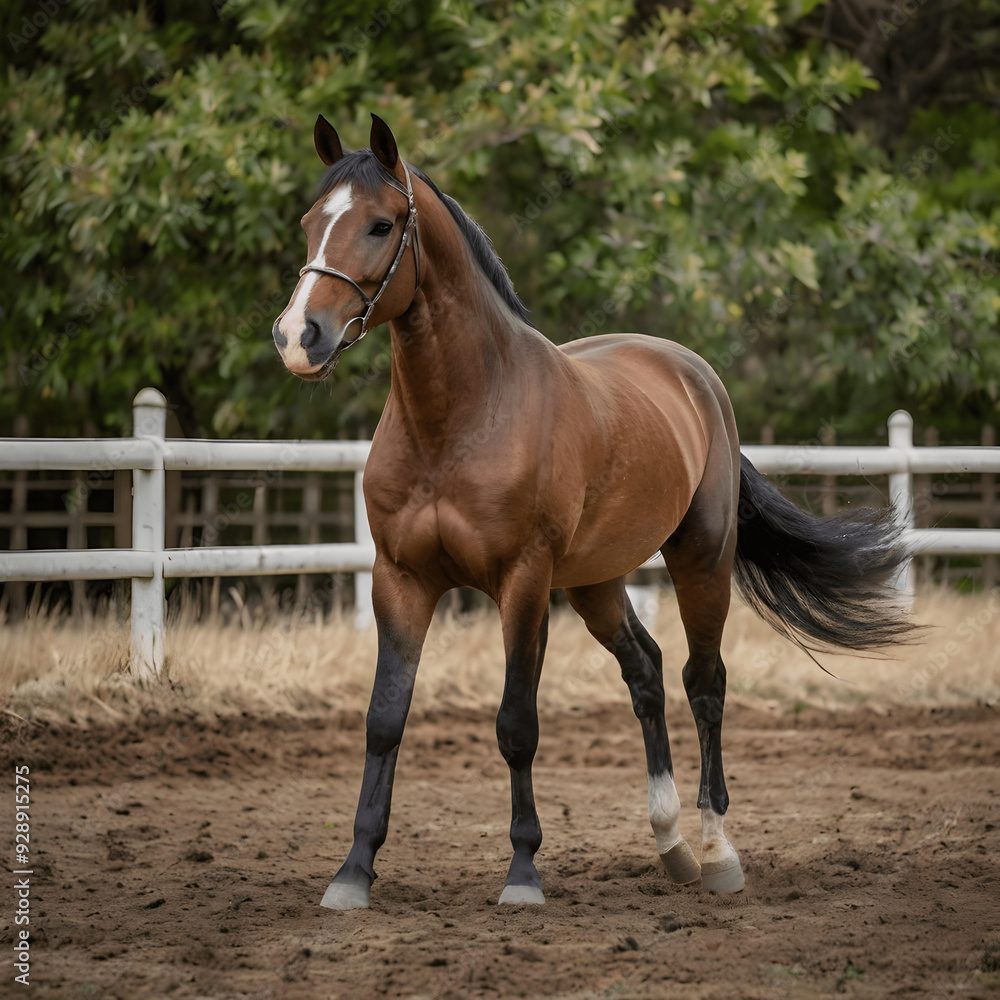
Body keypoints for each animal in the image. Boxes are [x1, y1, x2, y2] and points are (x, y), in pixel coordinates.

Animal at [272, 114, 915, 910]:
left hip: (700, 563)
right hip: (595, 584)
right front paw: (354, 871)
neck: (460, 419)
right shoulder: (400, 580)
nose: (298, 337)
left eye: (381, 224)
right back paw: (670, 844)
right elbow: (385, 719)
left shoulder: (522, 584)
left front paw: (522, 874)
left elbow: (517, 723)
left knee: (704, 683)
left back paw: (717, 852)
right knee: (646, 670)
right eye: (310, 222)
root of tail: (694, 373)